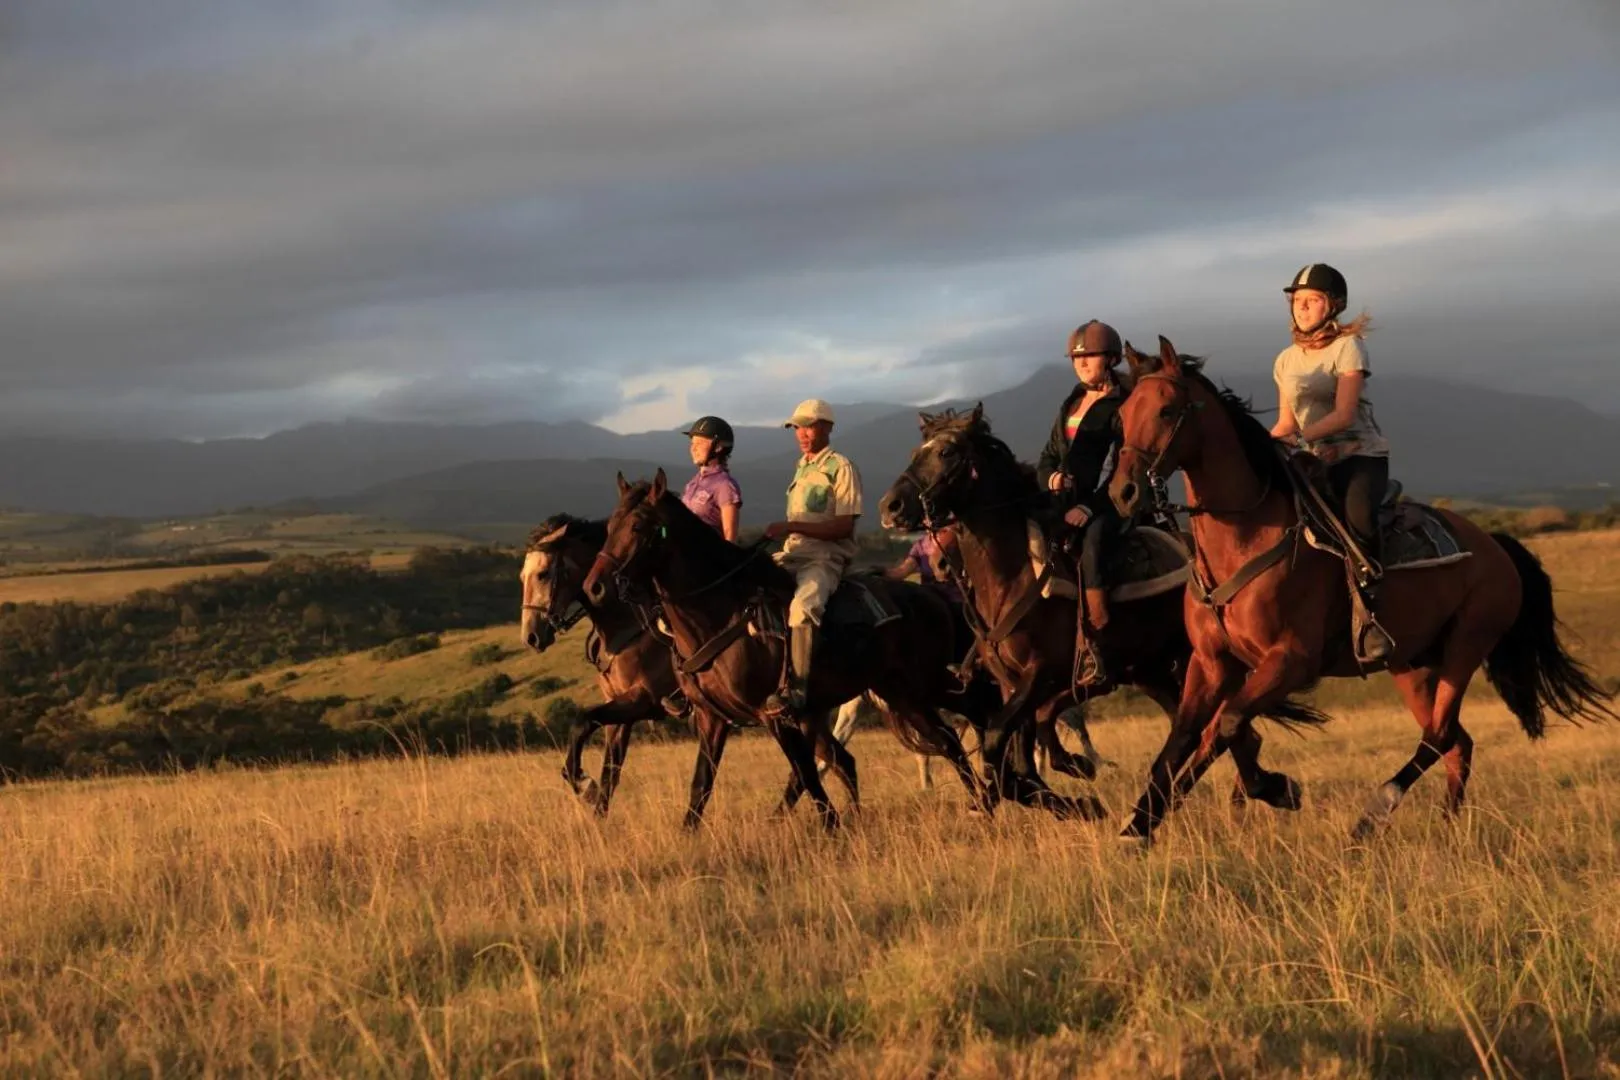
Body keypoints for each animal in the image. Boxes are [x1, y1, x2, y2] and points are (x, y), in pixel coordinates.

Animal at [520, 515, 881, 823]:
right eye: (523, 576)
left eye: (543, 574)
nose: (532, 635)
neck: (627, 623)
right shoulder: (621, 713)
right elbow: (610, 768)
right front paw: (596, 814)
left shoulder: (642, 701)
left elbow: (582, 723)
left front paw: (584, 785)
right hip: (810, 715)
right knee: (838, 761)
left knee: (819, 765)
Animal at [582, 470, 995, 830]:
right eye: (609, 528)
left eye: (638, 527)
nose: (595, 586)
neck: (720, 612)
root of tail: (932, 596)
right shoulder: (711, 717)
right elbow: (701, 785)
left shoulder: (773, 715)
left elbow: (806, 775)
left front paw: (831, 828)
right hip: (898, 695)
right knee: (941, 739)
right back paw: (980, 800)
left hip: (923, 686)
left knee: (964, 724)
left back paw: (987, 798)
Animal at [879, 405, 1327, 817]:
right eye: (917, 451)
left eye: (948, 452)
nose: (891, 507)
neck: (1015, 573)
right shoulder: (1011, 685)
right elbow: (1018, 759)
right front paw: (1073, 797)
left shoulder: (1041, 674)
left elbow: (999, 746)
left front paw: (1076, 797)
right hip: (1154, 672)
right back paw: (1259, 790)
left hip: (1189, 663)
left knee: (1227, 728)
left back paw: (1262, 790)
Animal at [1108, 337, 1616, 841]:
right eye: (1124, 413)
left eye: (1167, 410)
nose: (1123, 493)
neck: (1247, 536)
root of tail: (1496, 547)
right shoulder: (1211, 663)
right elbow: (1186, 736)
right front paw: (1141, 823)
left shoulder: (1290, 662)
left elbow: (1227, 726)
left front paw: (1277, 790)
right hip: (1412, 663)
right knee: (1456, 742)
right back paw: (1449, 829)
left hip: (1466, 646)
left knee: (1439, 736)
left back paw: (1374, 814)